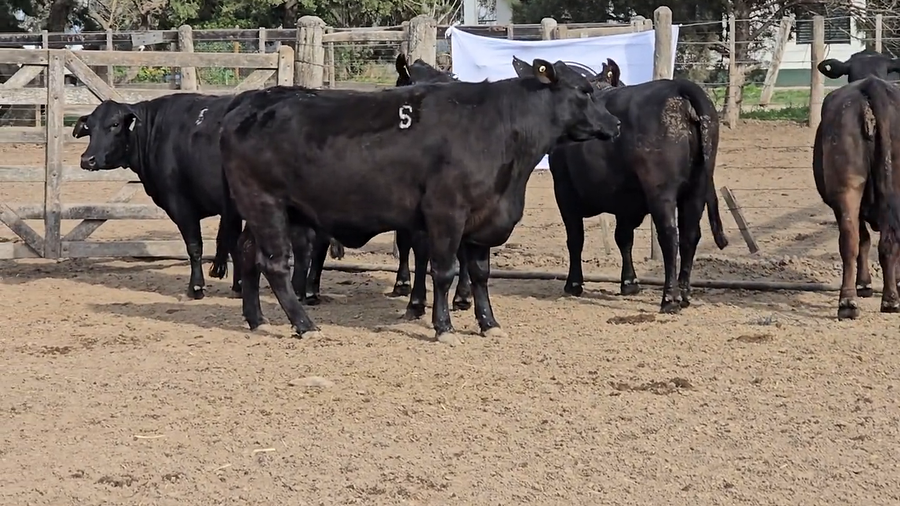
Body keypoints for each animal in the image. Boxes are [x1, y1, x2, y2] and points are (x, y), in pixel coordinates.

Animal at [220, 59, 621, 341]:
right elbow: (443, 271)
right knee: (274, 265)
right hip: (265, 203)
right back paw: (305, 325)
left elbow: (480, 274)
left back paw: (256, 319)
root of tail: (252, 101)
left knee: (247, 253)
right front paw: (443, 327)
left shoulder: (483, 217)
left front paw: (488, 322)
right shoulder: (446, 212)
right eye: (584, 90)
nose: (615, 124)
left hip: (263, 211)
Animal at [512, 57, 729, 313]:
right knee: (690, 235)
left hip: (660, 189)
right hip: (697, 186)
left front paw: (573, 284)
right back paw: (684, 295)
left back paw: (670, 298)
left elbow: (575, 238)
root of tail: (680, 86)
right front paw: (629, 282)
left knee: (669, 236)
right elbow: (623, 237)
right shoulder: (626, 201)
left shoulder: (564, 190)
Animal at [813, 75, 900, 319]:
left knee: (851, 240)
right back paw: (890, 299)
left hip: (847, 190)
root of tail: (871, 84)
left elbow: (864, 240)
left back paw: (848, 301)